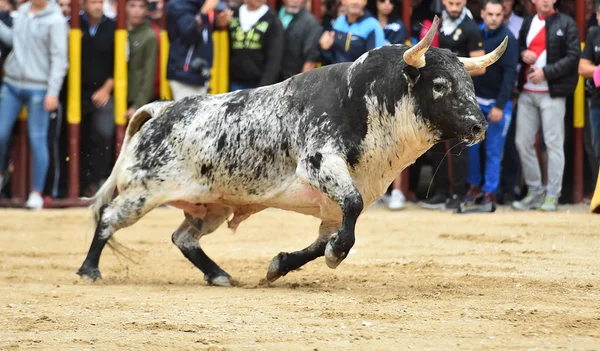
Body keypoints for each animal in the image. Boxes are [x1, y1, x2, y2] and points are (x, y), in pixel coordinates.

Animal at [75, 16, 506, 288]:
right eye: (439, 85)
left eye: (469, 83)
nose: (478, 126)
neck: (368, 101)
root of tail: (162, 110)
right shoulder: (319, 165)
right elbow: (349, 215)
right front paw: (335, 256)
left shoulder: (335, 204)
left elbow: (327, 237)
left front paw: (279, 266)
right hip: (143, 191)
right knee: (108, 217)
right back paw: (89, 270)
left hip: (210, 206)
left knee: (184, 238)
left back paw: (219, 275)